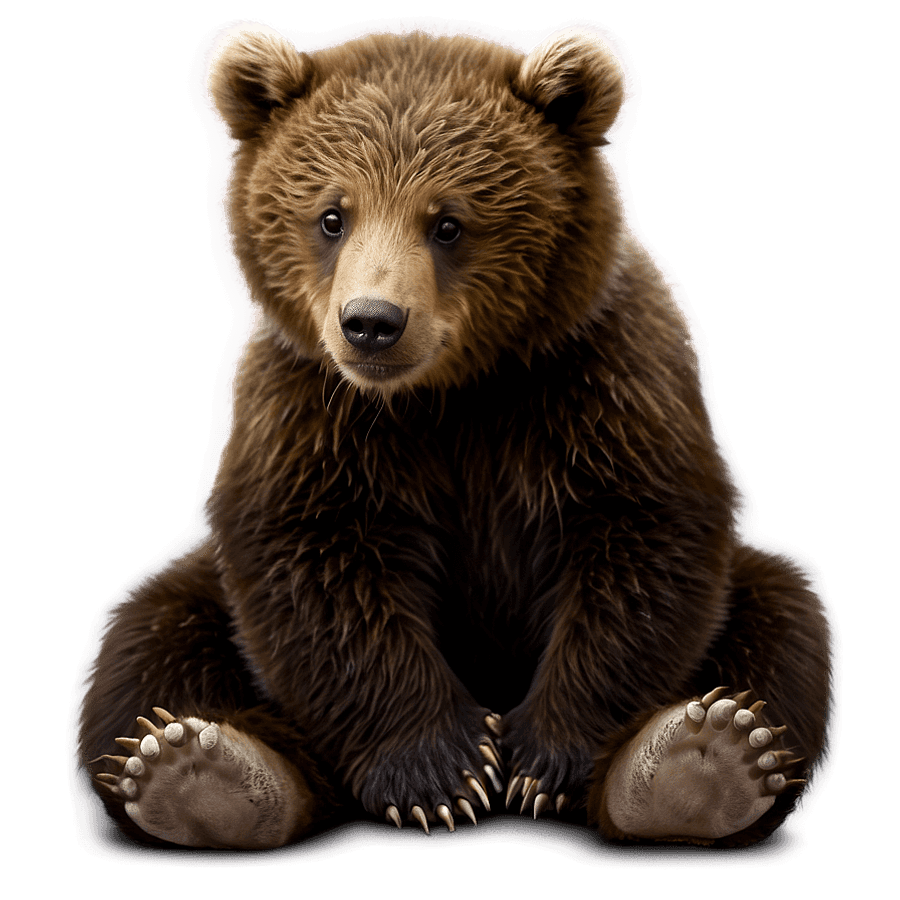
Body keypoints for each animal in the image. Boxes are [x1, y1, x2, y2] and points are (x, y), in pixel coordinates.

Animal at [76, 20, 832, 852]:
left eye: (448, 221)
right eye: (332, 215)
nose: (372, 322)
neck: (449, 394)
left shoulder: (598, 382)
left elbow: (640, 547)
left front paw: (545, 762)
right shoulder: (314, 412)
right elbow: (317, 571)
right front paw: (441, 772)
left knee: (785, 618)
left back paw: (697, 766)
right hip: (192, 590)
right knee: (144, 642)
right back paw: (204, 771)